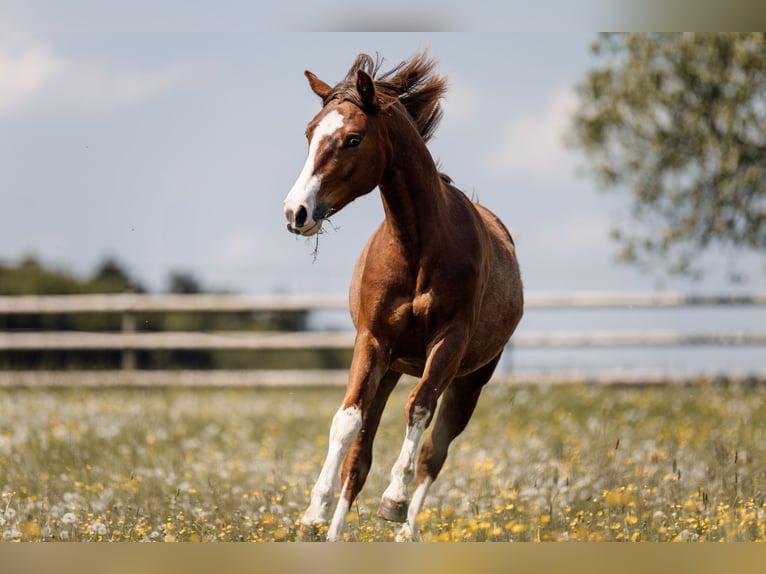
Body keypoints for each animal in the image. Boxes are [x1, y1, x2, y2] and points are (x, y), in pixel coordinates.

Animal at [283, 52, 523, 541]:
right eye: (309, 133)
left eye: (353, 139)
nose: (295, 212)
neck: (416, 246)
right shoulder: (372, 340)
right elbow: (347, 422)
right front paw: (313, 516)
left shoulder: (449, 342)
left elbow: (420, 409)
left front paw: (393, 499)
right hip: (392, 367)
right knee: (360, 459)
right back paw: (336, 533)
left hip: (472, 379)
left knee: (435, 452)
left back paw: (406, 529)